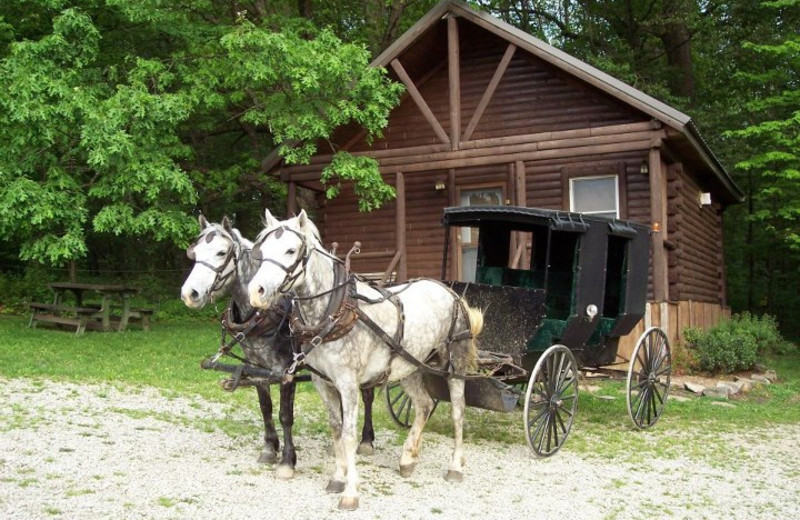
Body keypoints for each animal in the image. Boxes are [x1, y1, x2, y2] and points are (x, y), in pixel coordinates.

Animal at [247, 209, 482, 510]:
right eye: (261, 251)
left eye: (290, 250)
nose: (257, 291)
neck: (333, 311)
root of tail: (450, 292)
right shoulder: (322, 382)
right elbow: (336, 428)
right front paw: (338, 477)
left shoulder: (348, 384)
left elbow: (348, 434)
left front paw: (350, 492)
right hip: (409, 368)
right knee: (424, 405)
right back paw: (408, 457)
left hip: (455, 366)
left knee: (457, 412)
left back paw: (455, 466)